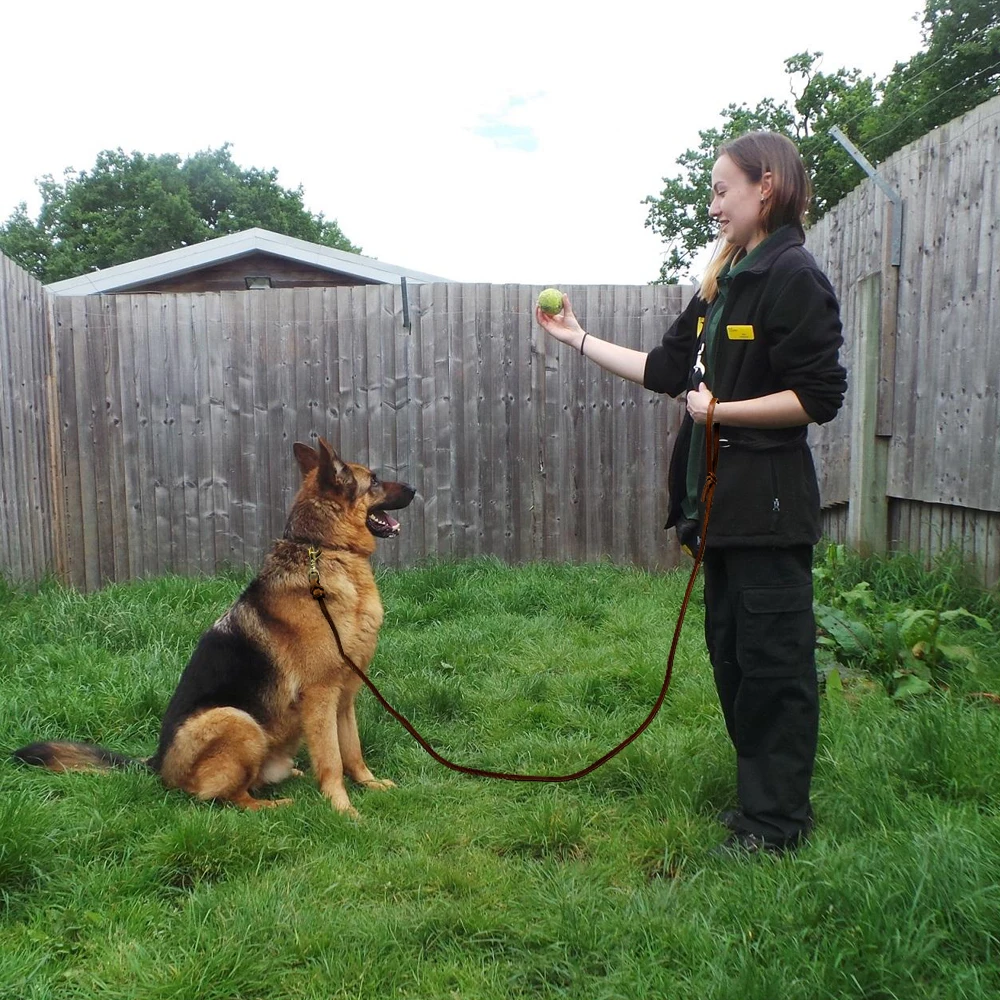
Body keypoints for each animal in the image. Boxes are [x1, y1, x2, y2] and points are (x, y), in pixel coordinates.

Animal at [15, 442, 414, 816]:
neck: (324, 549)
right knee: (228, 797)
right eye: (374, 481)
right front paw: (343, 808)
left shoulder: (345, 696)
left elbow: (352, 750)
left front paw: (369, 784)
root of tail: (156, 764)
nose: (414, 488)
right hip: (236, 720)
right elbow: (331, 760)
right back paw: (275, 805)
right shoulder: (320, 697)